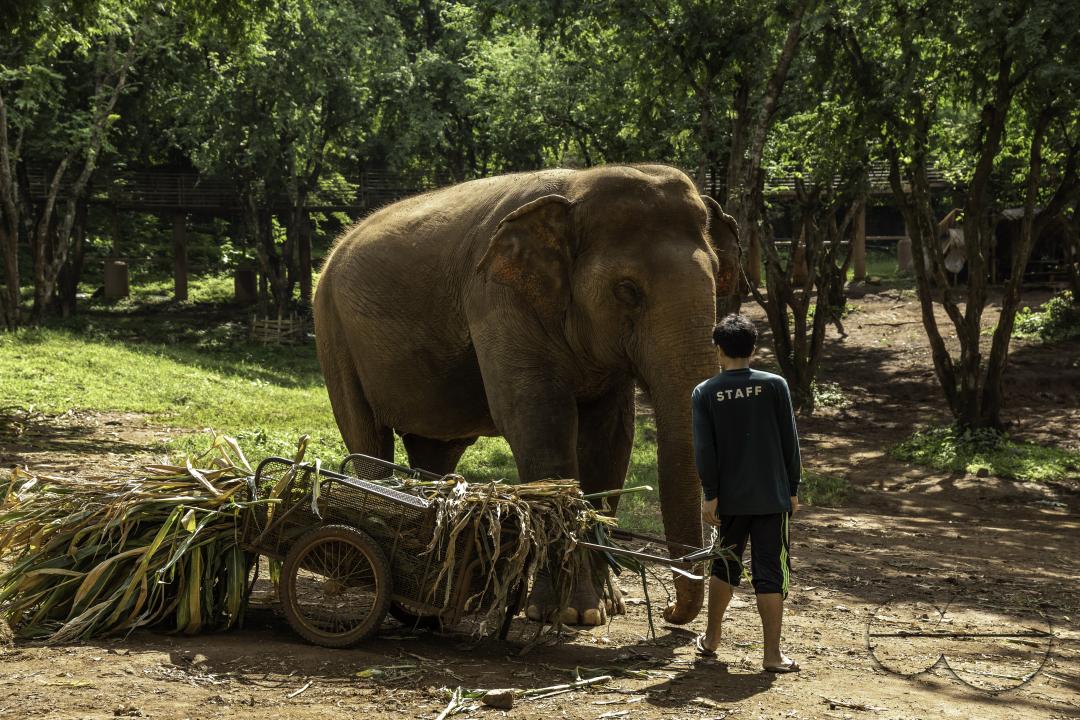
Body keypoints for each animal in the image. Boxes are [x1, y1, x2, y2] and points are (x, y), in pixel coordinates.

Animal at [313, 164, 741, 626]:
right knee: (366, 439)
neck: (577, 187)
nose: (668, 610)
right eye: (627, 290)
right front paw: (569, 612)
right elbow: (538, 420)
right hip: (332, 330)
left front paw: (605, 608)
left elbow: (609, 438)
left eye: (717, 276)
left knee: (436, 449)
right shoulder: (497, 298)